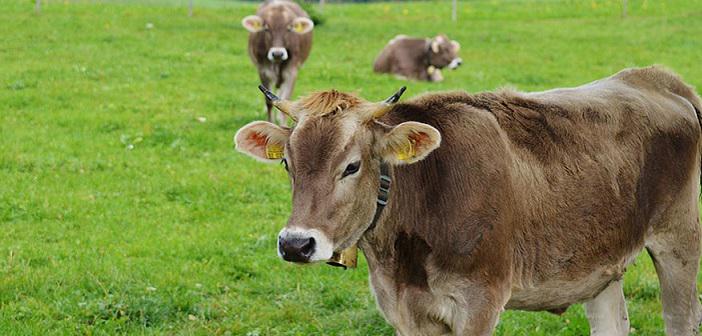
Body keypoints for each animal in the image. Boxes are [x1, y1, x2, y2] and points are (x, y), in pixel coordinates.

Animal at [235, 66, 702, 336]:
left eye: (352, 166)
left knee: (681, 318)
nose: (296, 244)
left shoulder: (480, 302)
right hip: (600, 262)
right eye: (288, 164)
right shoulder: (404, 310)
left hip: (678, 241)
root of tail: (655, 77)